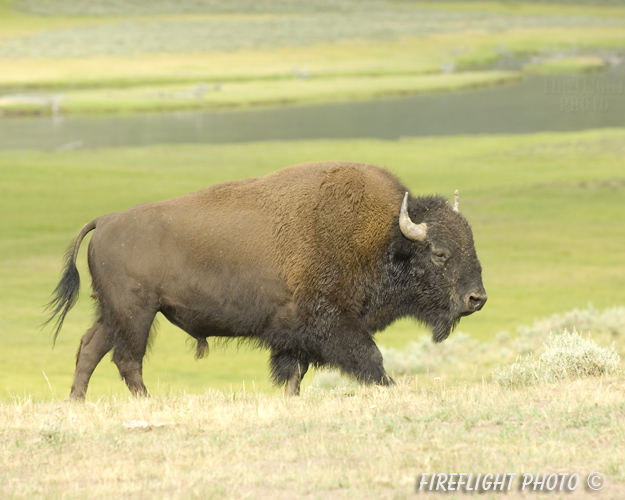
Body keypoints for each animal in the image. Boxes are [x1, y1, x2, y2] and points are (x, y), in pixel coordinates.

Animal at [46, 162, 486, 400]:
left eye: (471, 243)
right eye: (440, 253)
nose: (476, 298)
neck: (383, 238)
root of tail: (106, 220)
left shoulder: (295, 334)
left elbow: (295, 372)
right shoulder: (333, 323)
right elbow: (370, 359)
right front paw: (391, 387)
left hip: (114, 313)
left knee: (91, 348)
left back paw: (76, 402)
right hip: (136, 313)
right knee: (126, 359)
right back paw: (146, 403)